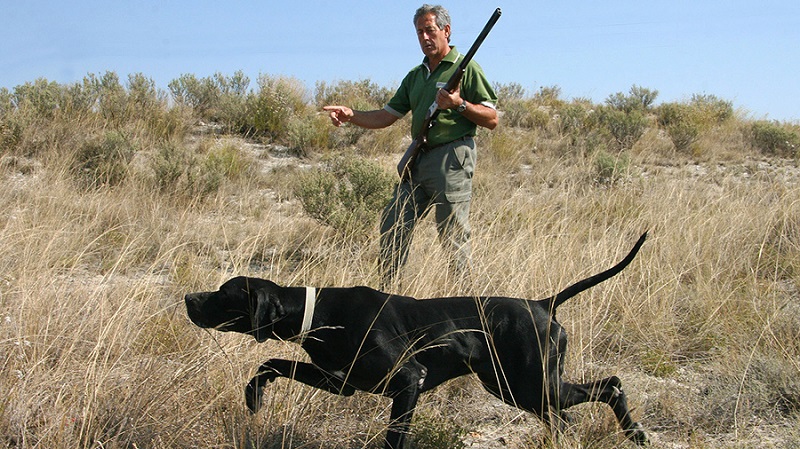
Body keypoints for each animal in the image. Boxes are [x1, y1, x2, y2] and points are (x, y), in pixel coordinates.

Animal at [186, 233, 648, 446]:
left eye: (223, 294)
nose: (189, 298)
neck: (320, 312)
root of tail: (542, 303)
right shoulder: (340, 381)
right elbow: (272, 364)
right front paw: (254, 395)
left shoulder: (409, 379)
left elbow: (395, 436)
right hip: (514, 387)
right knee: (570, 414)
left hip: (528, 384)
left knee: (610, 386)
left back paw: (636, 434)